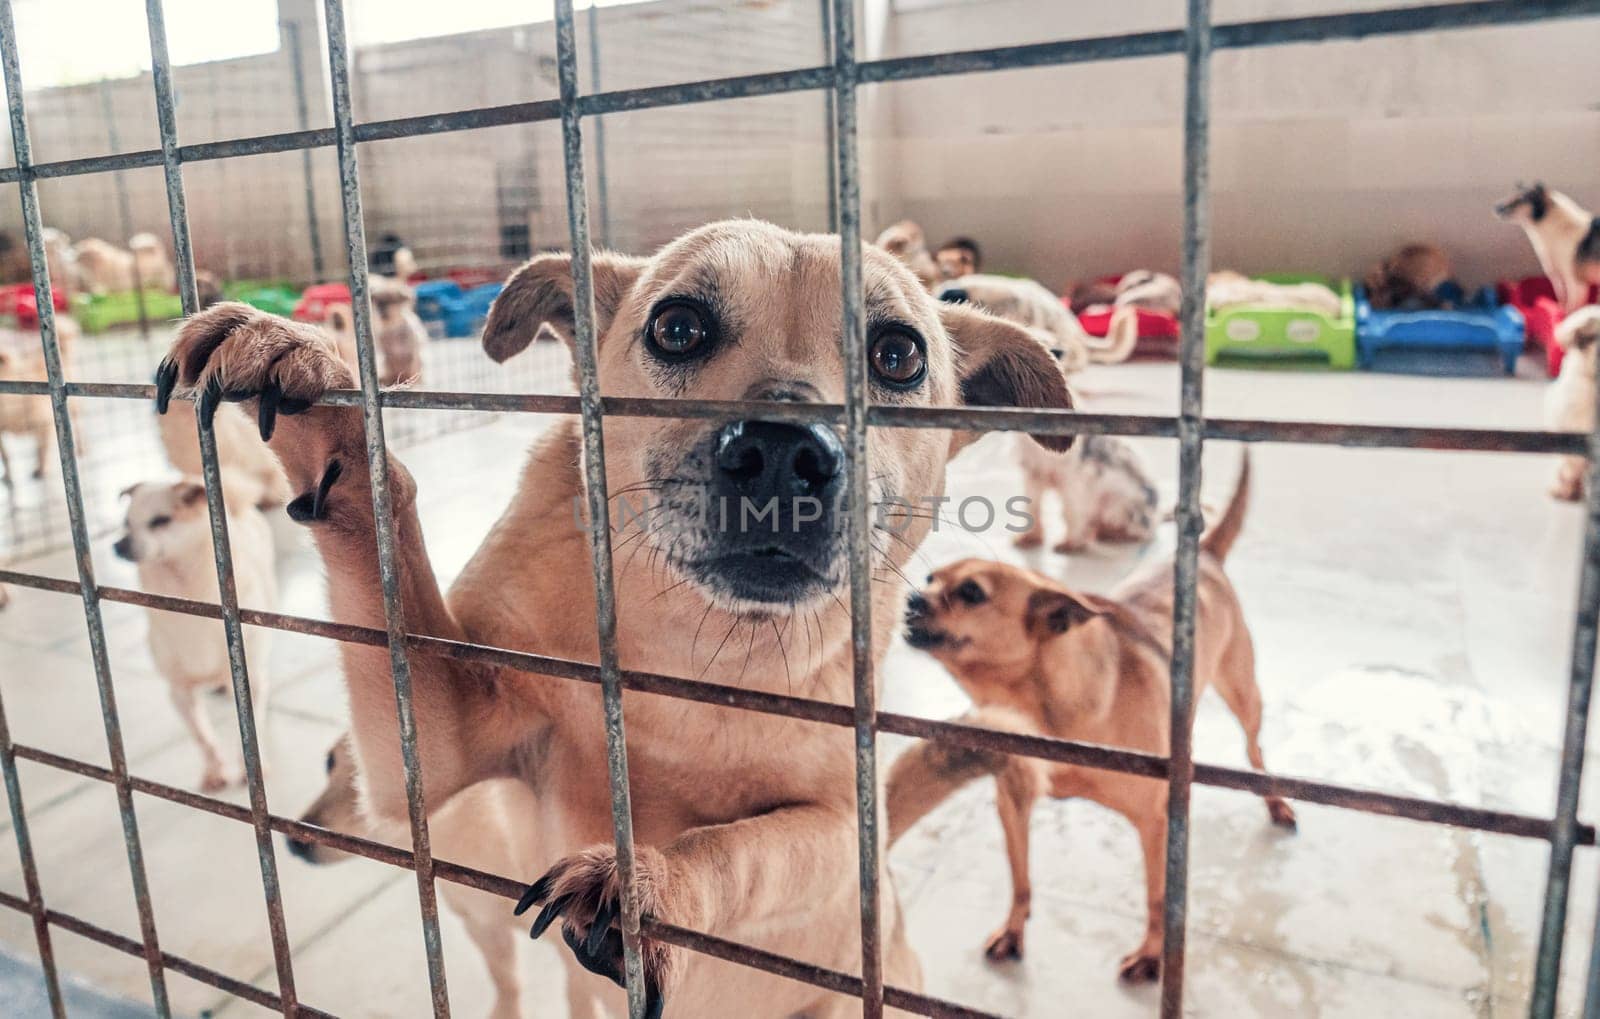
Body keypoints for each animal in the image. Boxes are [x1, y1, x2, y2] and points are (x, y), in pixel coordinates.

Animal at [288, 735, 601, 1017]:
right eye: (329, 761)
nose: (294, 842)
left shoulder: (574, 954)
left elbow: (579, 998)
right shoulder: (480, 926)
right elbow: (504, 979)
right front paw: (506, 1012)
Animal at [889, 454, 1299, 979]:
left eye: (973, 594)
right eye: (929, 580)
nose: (910, 600)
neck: (1044, 704)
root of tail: (1205, 555)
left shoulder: (1153, 822)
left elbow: (1157, 898)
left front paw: (1152, 954)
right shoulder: (1011, 801)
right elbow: (1021, 879)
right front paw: (1014, 930)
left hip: (1244, 693)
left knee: (1255, 750)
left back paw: (1275, 800)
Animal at [1491, 181, 1593, 310]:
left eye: (1521, 199)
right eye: (1512, 194)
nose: (1496, 207)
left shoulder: (1576, 283)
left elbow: (1573, 306)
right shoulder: (1556, 277)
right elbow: (1562, 299)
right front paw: (1561, 309)